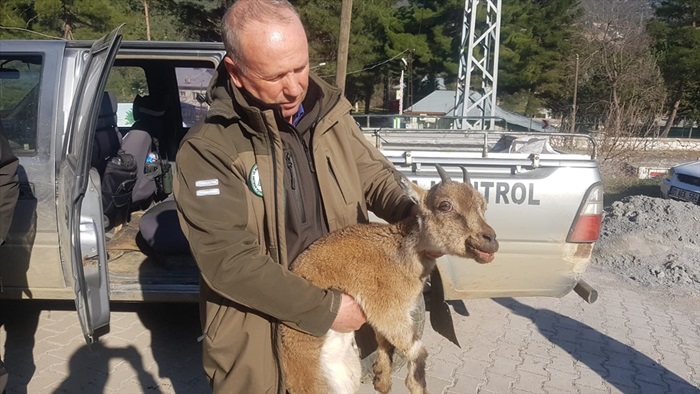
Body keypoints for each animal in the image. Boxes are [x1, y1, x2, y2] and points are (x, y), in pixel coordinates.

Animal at [282, 165, 500, 392]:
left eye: (483, 207)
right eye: (445, 205)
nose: (490, 240)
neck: (399, 254)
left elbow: (385, 341)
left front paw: (382, 380)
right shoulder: (386, 309)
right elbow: (417, 350)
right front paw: (415, 385)